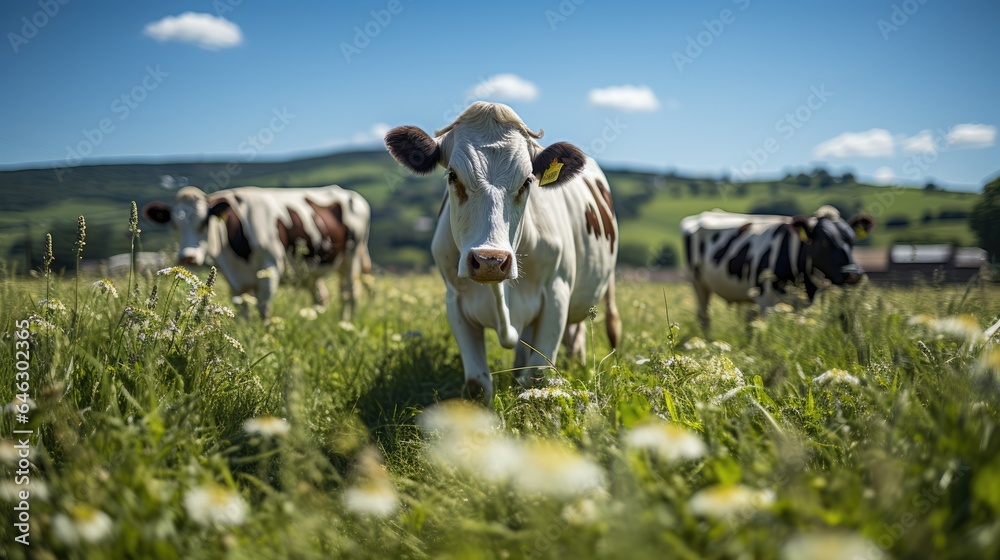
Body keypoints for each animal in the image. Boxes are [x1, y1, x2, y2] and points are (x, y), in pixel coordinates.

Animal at [143, 186, 374, 322]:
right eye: (174, 224)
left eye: (204, 222)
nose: (188, 257)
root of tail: (352, 194)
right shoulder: (235, 281)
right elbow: (243, 313)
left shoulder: (270, 270)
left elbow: (264, 311)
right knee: (322, 296)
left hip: (352, 256)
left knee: (350, 293)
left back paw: (346, 323)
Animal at [386, 101, 620, 402]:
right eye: (453, 176)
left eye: (527, 181)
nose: (490, 261)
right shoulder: (455, 301)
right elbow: (477, 383)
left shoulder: (556, 295)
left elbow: (537, 374)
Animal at [680, 205, 876, 328]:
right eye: (824, 242)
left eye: (851, 240)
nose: (854, 273)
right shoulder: (765, 301)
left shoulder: (802, 305)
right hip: (698, 283)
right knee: (704, 318)